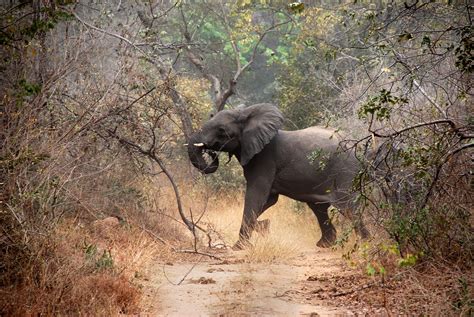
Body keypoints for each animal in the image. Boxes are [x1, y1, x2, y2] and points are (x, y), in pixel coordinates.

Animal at [187, 102, 368, 248]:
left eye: (222, 131)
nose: (210, 152)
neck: (246, 115)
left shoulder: (264, 159)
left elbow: (256, 196)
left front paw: (239, 247)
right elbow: (268, 200)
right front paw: (264, 227)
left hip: (345, 170)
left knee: (347, 206)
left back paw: (365, 244)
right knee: (319, 207)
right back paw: (325, 245)